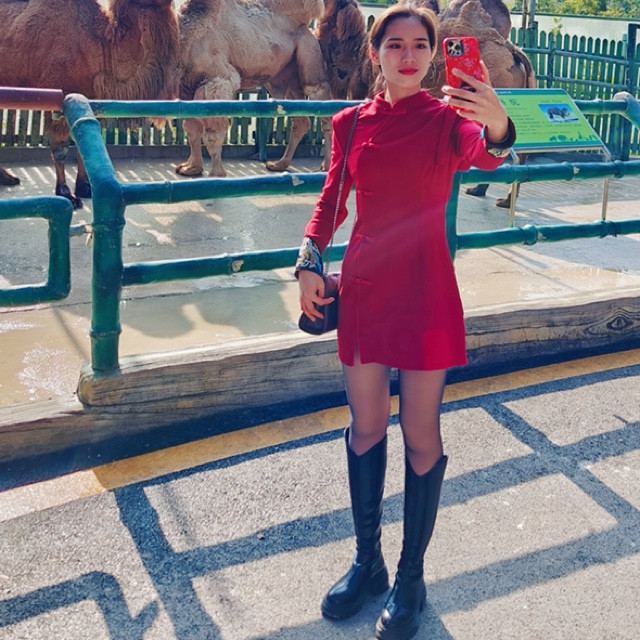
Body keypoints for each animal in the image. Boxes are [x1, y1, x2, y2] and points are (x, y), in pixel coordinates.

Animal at [0, 0, 180, 207]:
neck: (100, 41)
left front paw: (85, 188)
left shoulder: (91, 99)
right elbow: (60, 149)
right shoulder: (60, 98)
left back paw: (8, 178)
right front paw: (66, 193)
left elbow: (82, 147)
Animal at [176, 0, 332, 178]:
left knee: (320, 98)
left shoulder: (217, 80)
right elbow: (192, 128)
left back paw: (326, 166)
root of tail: (306, 25)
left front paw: (216, 175)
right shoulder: (186, 87)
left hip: (309, 50)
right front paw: (191, 168)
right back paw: (279, 164)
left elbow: (212, 133)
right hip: (284, 76)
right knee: (300, 119)